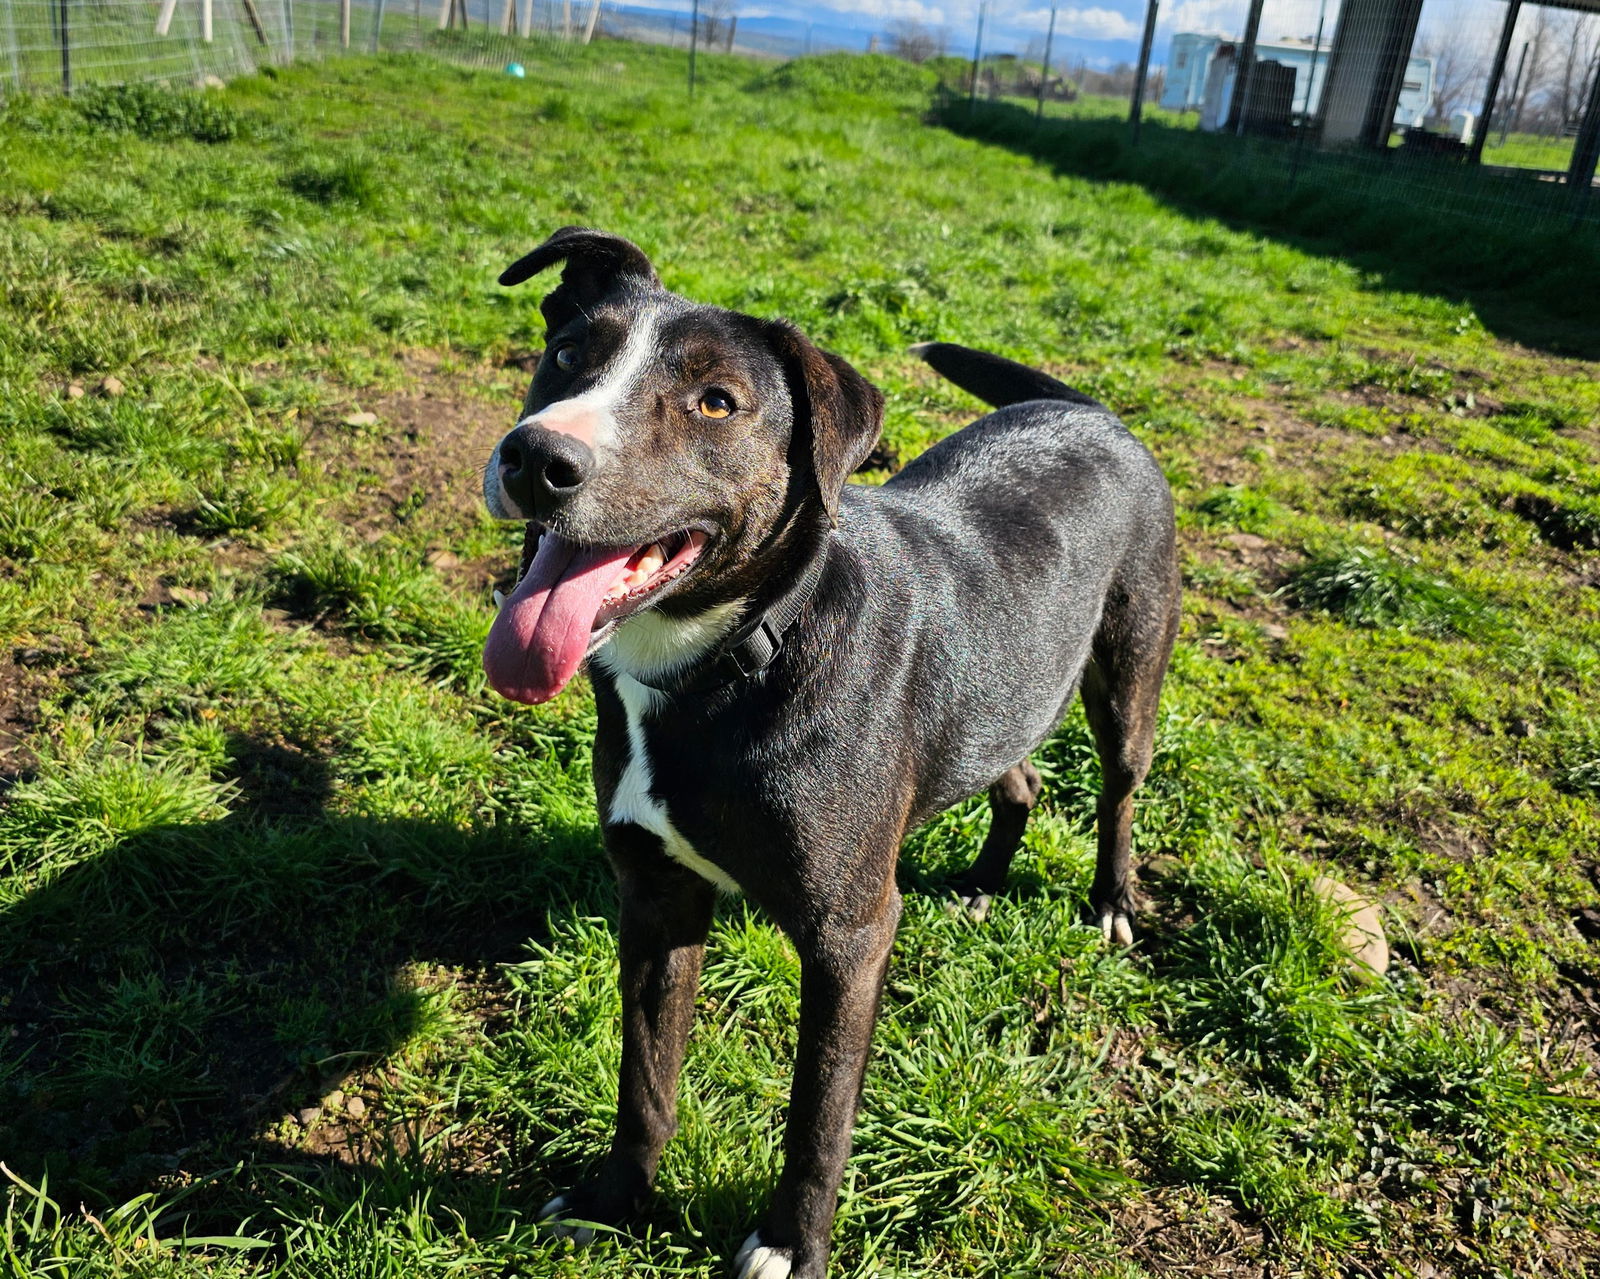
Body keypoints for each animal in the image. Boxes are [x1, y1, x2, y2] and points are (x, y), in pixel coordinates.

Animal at [480, 230, 1184, 1279]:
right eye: (567, 355)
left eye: (716, 402)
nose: (536, 457)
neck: (734, 658)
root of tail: (1090, 409)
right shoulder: (655, 896)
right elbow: (645, 1081)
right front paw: (614, 1203)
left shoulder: (851, 936)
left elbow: (818, 1116)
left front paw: (789, 1245)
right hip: (1002, 689)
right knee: (1016, 773)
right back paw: (982, 884)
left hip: (1128, 674)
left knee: (1118, 788)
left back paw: (1109, 903)